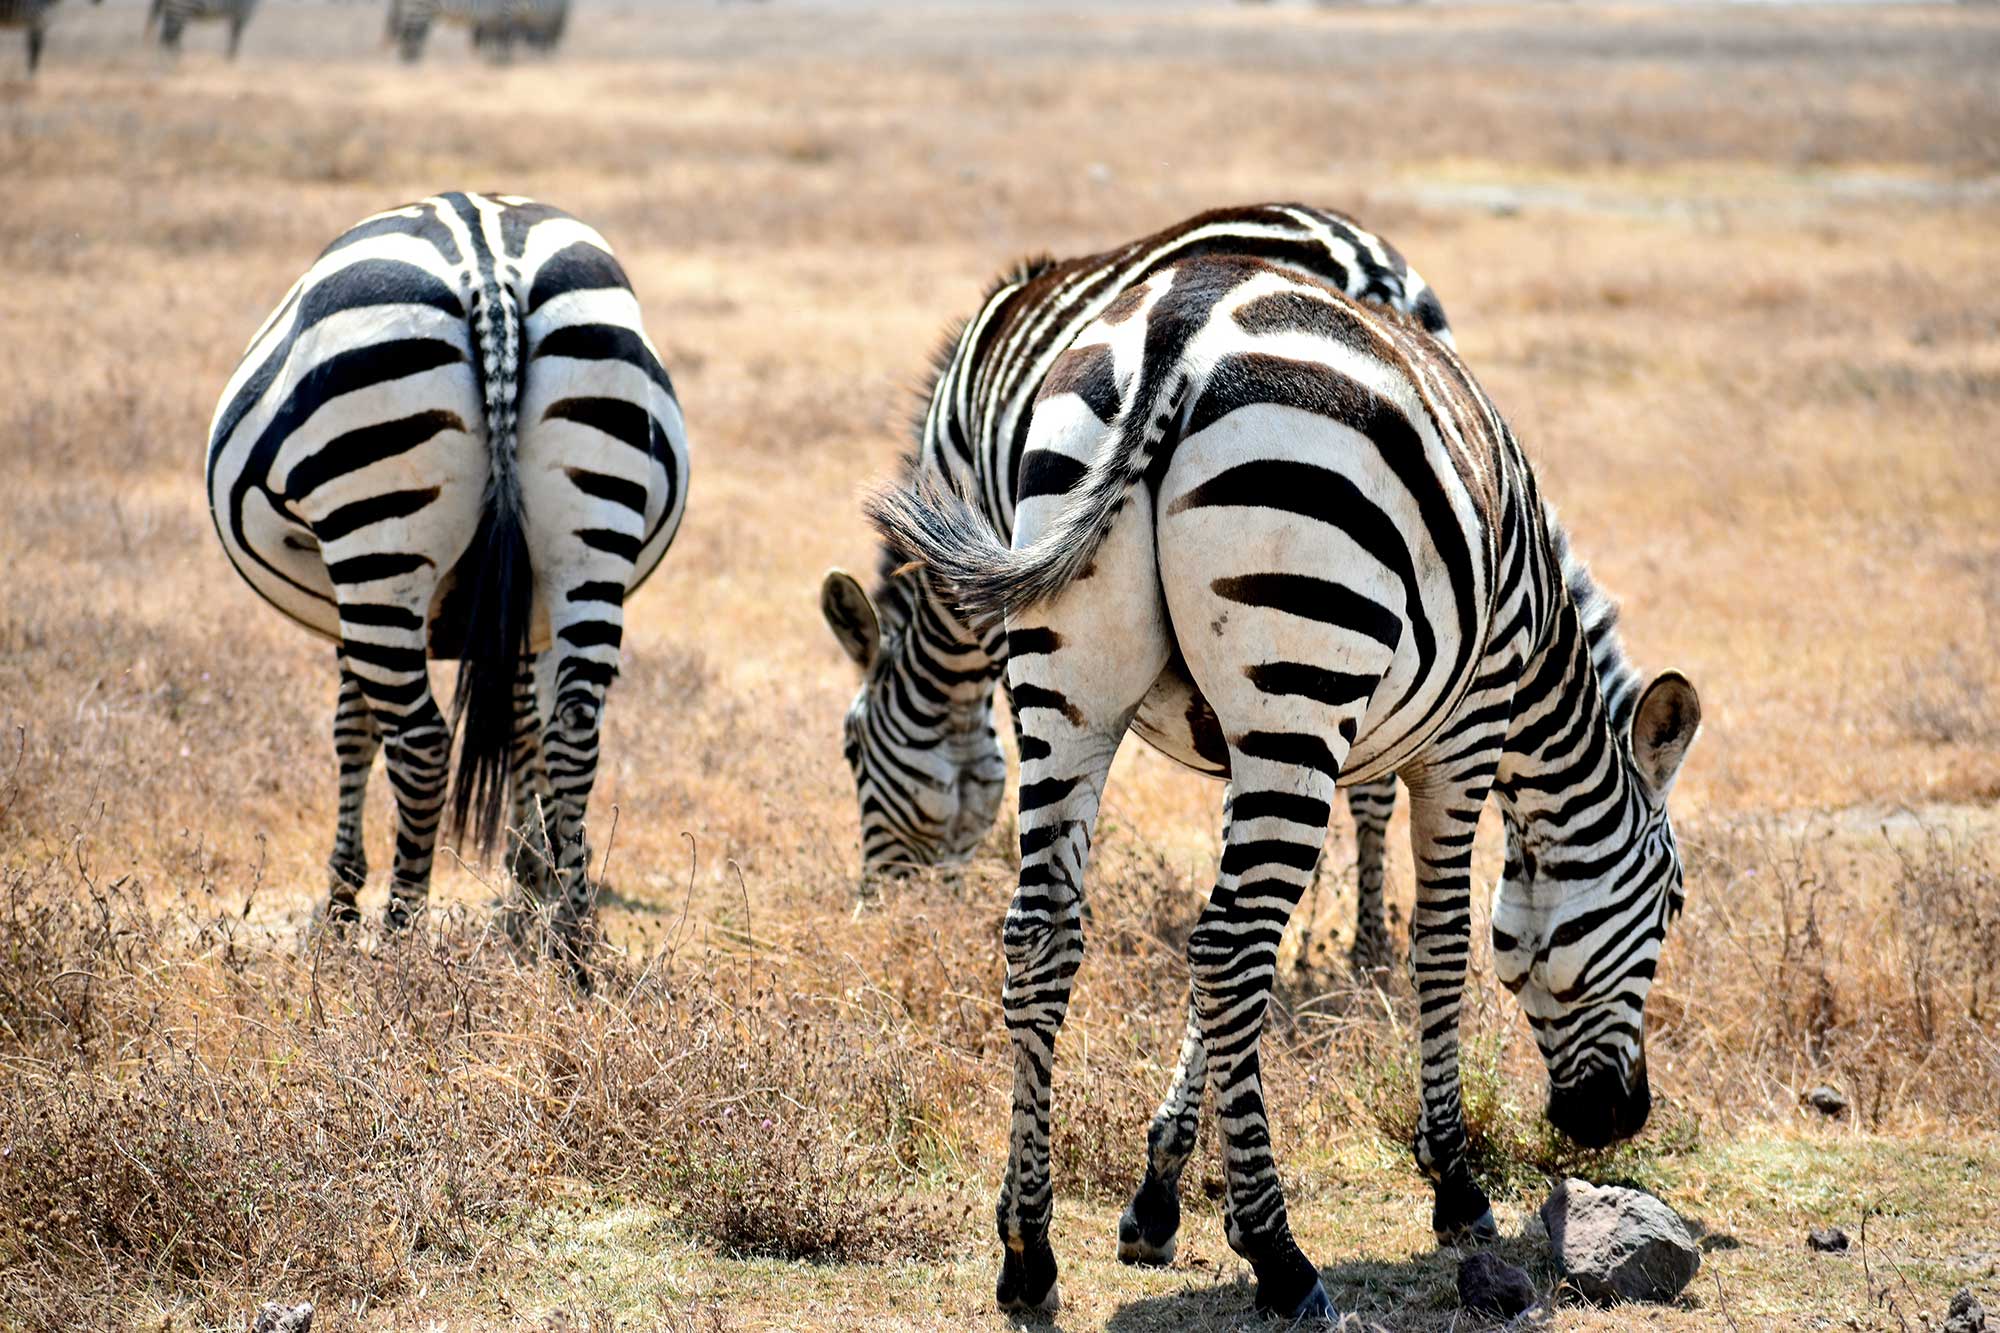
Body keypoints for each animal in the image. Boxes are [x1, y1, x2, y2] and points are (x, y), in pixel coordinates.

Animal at [205, 192, 688, 978]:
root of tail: (486, 260)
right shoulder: (520, 614)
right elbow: (521, 721)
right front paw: (533, 874)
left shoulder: (344, 603)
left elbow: (353, 727)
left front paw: (339, 906)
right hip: (590, 527)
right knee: (574, 726)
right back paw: (575, 940)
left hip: (374, 538)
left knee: (422, 742)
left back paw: (400, 940)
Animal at [867, 256, 1701, 1318]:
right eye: (1671, 907)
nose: (1620, 1118)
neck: (1542, 645)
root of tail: (1176, 334)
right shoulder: (1462, 739)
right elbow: (1440, 947)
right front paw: (1454, 1185)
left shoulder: (1251, 751)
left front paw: (1157, 1192)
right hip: (1302, 656)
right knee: (1229, 948)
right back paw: (1282, 1258)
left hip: (1075, 680)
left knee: (1052, 938)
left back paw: (1027, 1251)